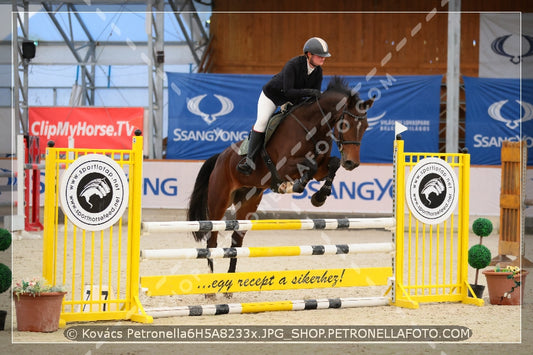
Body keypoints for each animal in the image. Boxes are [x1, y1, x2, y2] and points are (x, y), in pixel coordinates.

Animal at [187, 76, 374, 282]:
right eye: (345, 124)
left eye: (366, 127)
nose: (351, 163)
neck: (312, 126)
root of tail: (220, 157)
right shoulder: (283, 167)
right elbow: (309, 166)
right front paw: (293, 186)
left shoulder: (321, 168)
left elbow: (331, 165)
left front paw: (319, 197)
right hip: (219, 201)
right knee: (211, 240)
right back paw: (211, 283)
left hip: (248, 202)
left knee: (236, 241)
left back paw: (230, 281)